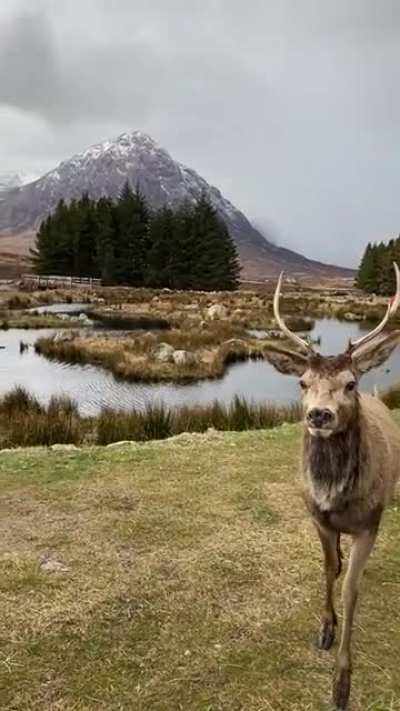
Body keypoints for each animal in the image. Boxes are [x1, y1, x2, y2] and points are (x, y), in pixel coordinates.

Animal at [266, 264, 400, 710]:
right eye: (303, 382)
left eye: (350, 383)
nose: (319, 415)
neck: (334, 494)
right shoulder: (317, 518)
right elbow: (329, 569)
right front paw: (325, 629)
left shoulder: (370, 523)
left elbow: (350, 589)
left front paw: (342, 683)